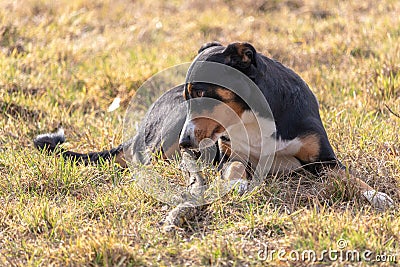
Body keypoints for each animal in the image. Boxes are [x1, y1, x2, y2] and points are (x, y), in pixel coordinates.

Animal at [34, 41, 394, 209]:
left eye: (201, 93)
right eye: (188, 94)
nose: (185, 141)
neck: (254, 115)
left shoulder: (323, 159)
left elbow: (351, 178)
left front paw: (377, 196)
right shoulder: (232, 154)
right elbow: (233, 170)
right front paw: (237, 185)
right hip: (169, 142)